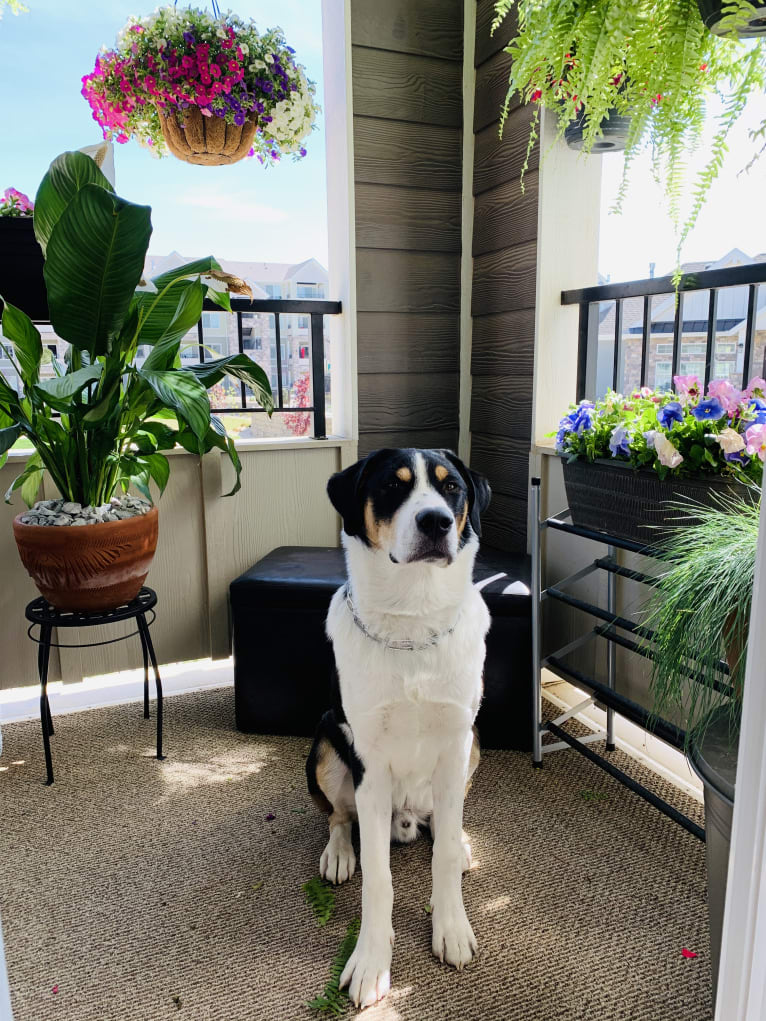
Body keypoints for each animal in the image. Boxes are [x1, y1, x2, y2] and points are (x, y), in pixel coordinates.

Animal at [308, 445, 494, 1004]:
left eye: (452, 487)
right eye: (393, 485)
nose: (435, 522)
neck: (413, 620)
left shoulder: (455, 745)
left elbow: (443, 861)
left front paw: (451, 928)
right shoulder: (369, 764)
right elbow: (378, 877)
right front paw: (372, 962)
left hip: (474, 743)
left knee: (444, 826)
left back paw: (461, 843)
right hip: (325, 743)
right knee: (338, 815)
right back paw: (339, 853)